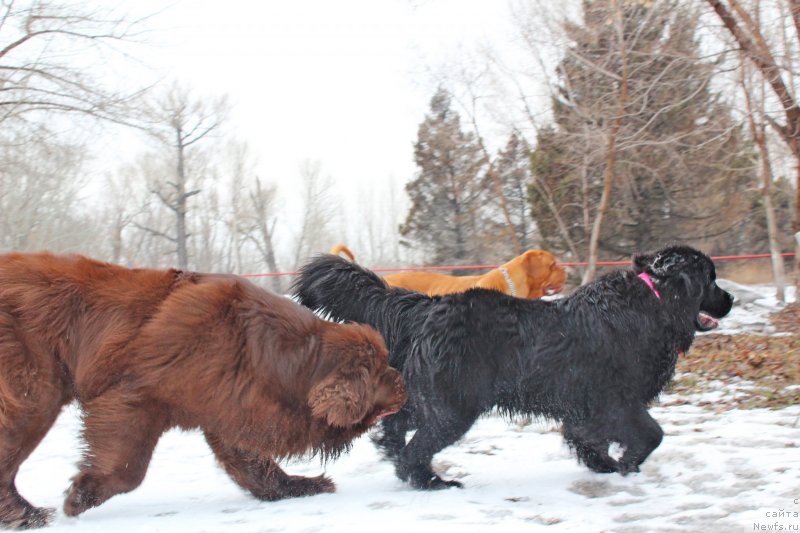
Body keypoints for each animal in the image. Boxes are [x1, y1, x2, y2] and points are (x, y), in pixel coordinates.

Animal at [0, 252, 404, 528]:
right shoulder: (135, 397)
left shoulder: (233, 408)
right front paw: (80, 496)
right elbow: (128, 467)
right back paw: (25, 515)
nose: (404, 381)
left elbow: (257, 470)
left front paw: (304, 486)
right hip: (34, 396)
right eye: (380, 372)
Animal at [292, 247, 732, 488]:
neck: (655, 300)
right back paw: (434, 483)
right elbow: (651, 434)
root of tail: (428, 305)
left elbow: (587, 436)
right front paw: (625, 465)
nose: (730, 299)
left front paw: (604, 465)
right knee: (415, 450)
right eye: (710, 280)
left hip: (433, 396)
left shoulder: (588, 406)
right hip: (454, 406)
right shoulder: (617, 401)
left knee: (397, 425)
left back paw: (398, 455)